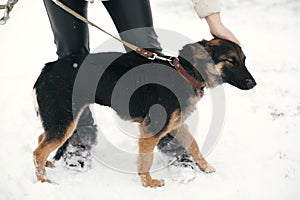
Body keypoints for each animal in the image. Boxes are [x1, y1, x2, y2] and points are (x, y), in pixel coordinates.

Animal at [34, 38, 256, 188]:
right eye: (231, 61)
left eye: (244, 60)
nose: (253, 83)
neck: (185, 73)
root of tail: (47, 69)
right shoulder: (151, 131)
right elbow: (145, 160)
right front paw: (149, 183)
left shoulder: (176, 124)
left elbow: (193, 144)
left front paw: (205, 166)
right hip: (64, 121)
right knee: (37, 152)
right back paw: (43, 180)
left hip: (60, 119)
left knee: (41, 139)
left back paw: (47, 166)